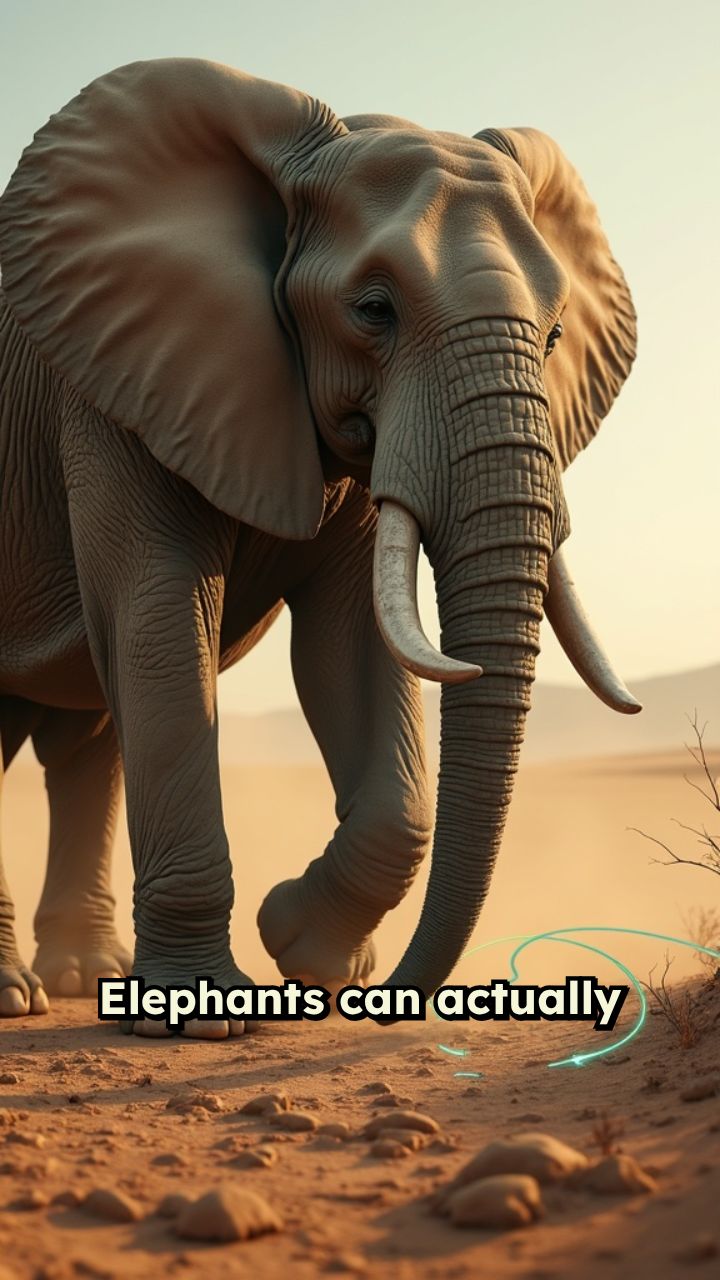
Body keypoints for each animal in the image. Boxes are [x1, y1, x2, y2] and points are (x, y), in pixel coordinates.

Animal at [0, 58, 640, 1037]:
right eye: (373, 311)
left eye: (558, 332)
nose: (394, 1000)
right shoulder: (112, 383)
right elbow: (160, 619)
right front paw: (208, 1012)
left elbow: (351, 647)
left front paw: (312, 958)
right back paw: (22, 994)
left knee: (89, 733)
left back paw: (83, 978)